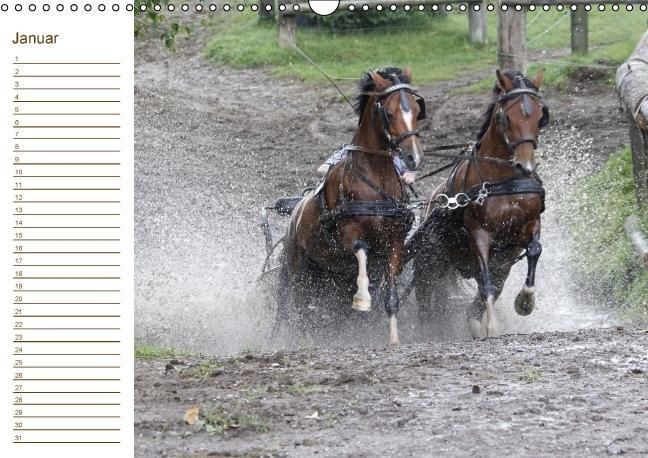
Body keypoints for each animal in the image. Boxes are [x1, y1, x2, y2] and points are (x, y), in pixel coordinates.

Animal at [277, 67, 426, 345]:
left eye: (416, 108)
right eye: (389, 113)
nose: (414, 157)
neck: (375, 182)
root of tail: (294, 214)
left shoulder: (395, 242)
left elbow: (391, 296)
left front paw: (393, 338)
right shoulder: (348, 235)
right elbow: (362, 249)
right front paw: (363, 299)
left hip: (329, 275)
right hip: (299, 271)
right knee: (301, 310)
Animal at [409, 69, 548, 338]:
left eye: (540, 115)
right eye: (506, 117)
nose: (525, 166)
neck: (505, 183)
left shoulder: (530, 226)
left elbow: (534, 251)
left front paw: (524, 302)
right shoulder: (479, 233)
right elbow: (485, 281)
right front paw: (491, 326)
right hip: (429, 263)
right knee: (426, 296)